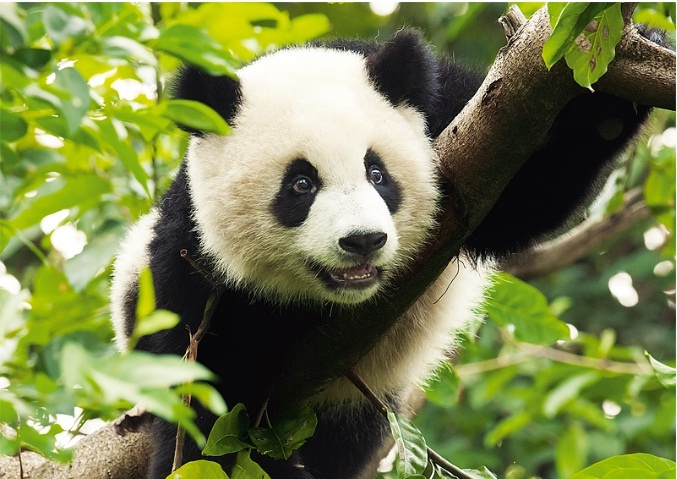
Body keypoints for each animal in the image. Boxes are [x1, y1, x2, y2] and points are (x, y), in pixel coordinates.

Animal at [110, 30, 652, 479]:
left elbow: (525, 193)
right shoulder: (191, 267)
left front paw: (617, 69)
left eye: (377, 173)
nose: (363, 240)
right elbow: (208, 410)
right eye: (301, 184)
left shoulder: (452, 113)